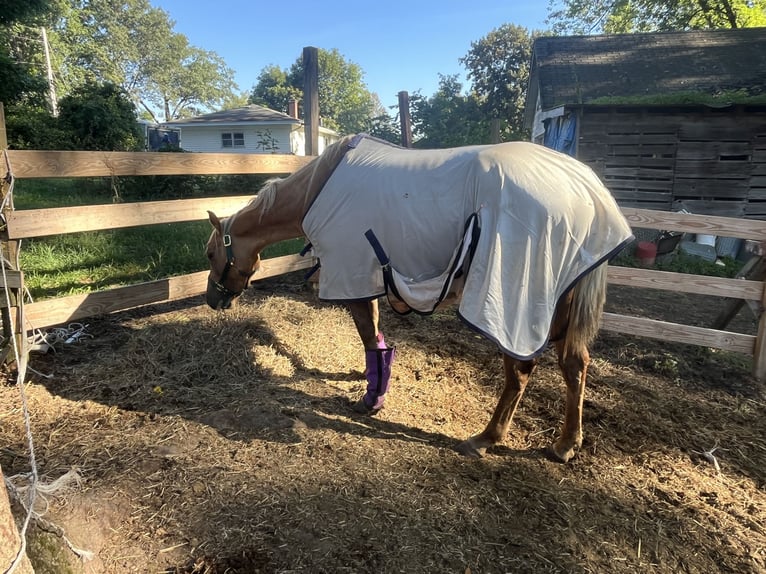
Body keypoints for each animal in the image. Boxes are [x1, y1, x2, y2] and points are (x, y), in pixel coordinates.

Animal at [205, 134, 633, 463]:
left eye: (210, 254)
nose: (212, 301)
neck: (319, 191)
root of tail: (585, 188)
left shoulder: (352, 275)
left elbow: (368, 337)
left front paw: (371, 400)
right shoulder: (367, 278)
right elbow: (376, 338)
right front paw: (370, 382)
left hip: (511, 300)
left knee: (522, 371)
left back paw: (486, 438)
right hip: (558, 303)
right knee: (574, 365)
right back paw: (565, 444)